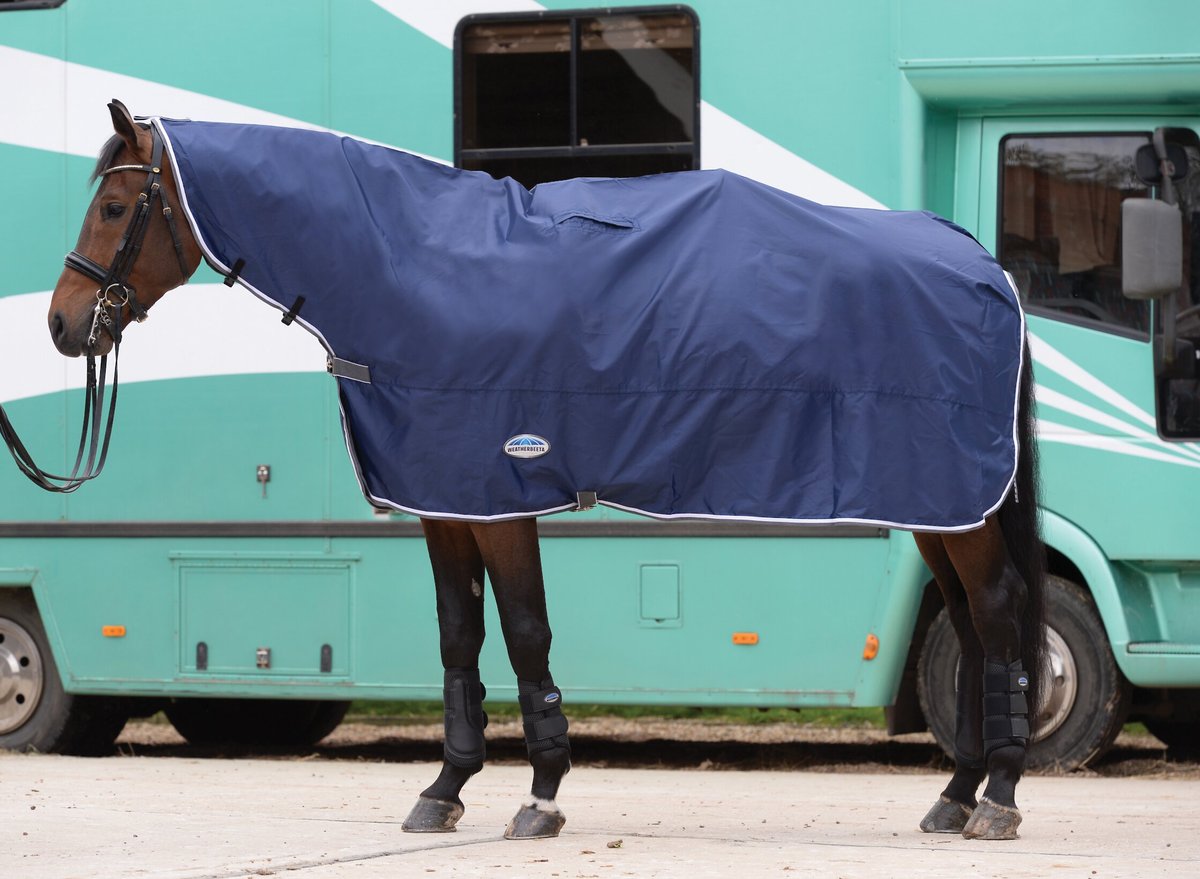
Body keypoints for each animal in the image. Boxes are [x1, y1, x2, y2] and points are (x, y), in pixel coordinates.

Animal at [48, 101, 1047, 841]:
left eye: (113, 207)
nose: (62, 324)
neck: (414, 270)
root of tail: (985, 264)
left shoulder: (501, 496)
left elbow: (526, 634)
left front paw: (542, 794)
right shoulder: (444, 502)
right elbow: (458, 638)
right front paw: (444, 790)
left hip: (956, 503)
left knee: (995, 613)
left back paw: (998, 798)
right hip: (938, 505)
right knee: (971, 621)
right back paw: (954, 795)